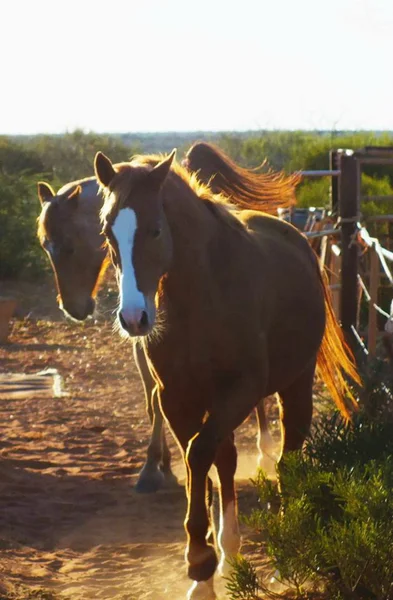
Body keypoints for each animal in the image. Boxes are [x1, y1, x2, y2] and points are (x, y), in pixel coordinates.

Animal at [95, 150, 358, 600]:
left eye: (155, 230)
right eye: (108, 233)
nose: (133, 318)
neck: (201, 298)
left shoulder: (242, 389)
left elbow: (199, 453)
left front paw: (200, 558)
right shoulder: (177, 399)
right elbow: (198, 461)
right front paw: (204, 571)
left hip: (294, 386)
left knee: (288, 455)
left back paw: (283, 550)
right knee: (228, 459)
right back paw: (230, 547)